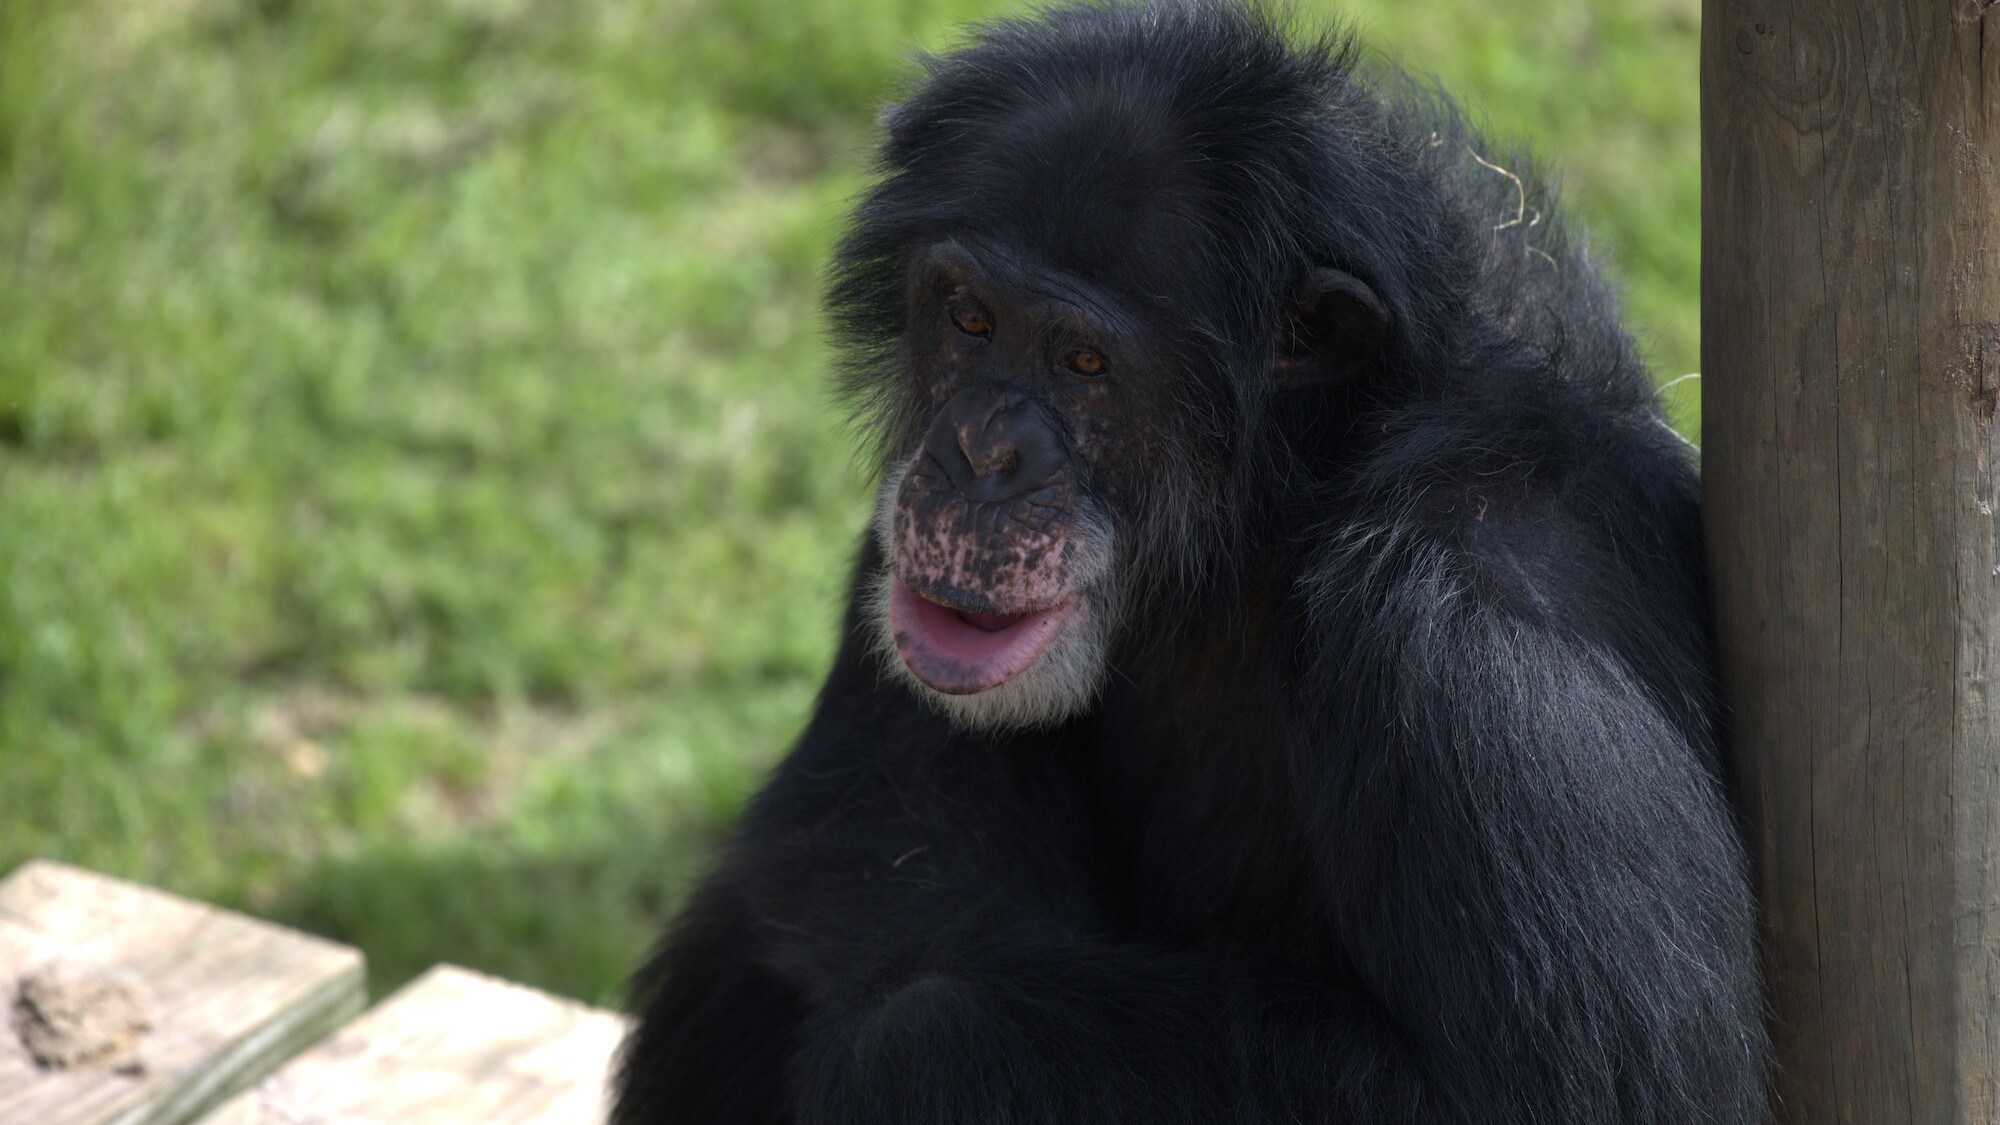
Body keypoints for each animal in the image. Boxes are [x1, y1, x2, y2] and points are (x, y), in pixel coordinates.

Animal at [612, 4, 1768, 1112]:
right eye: (969, 319)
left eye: (1082, 362)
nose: (979, 452)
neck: (1287, 503)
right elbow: (840, 848)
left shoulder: (1494, 657)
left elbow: (1583, 1091)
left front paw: (896, 1017)